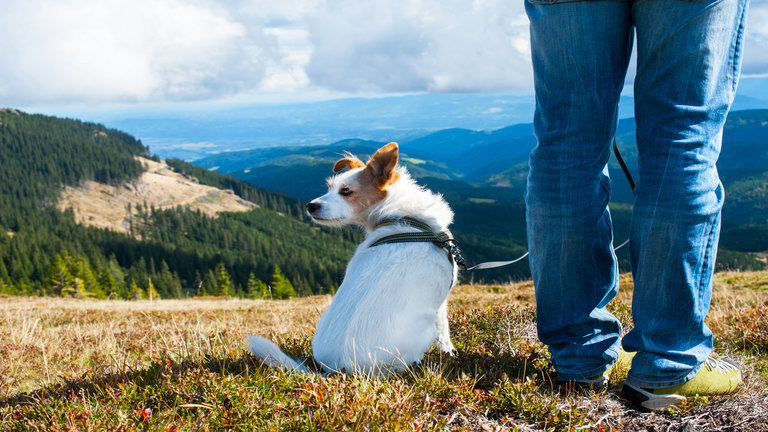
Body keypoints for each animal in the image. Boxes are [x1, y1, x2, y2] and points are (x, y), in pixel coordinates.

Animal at [249, 142, 460, 374]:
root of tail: (337, 368)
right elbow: (445, 333)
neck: (402, 217)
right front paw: (450, 352)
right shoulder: (441, 303)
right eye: (329, 186)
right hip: (424, 331)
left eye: (346, 191)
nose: (310, 206)